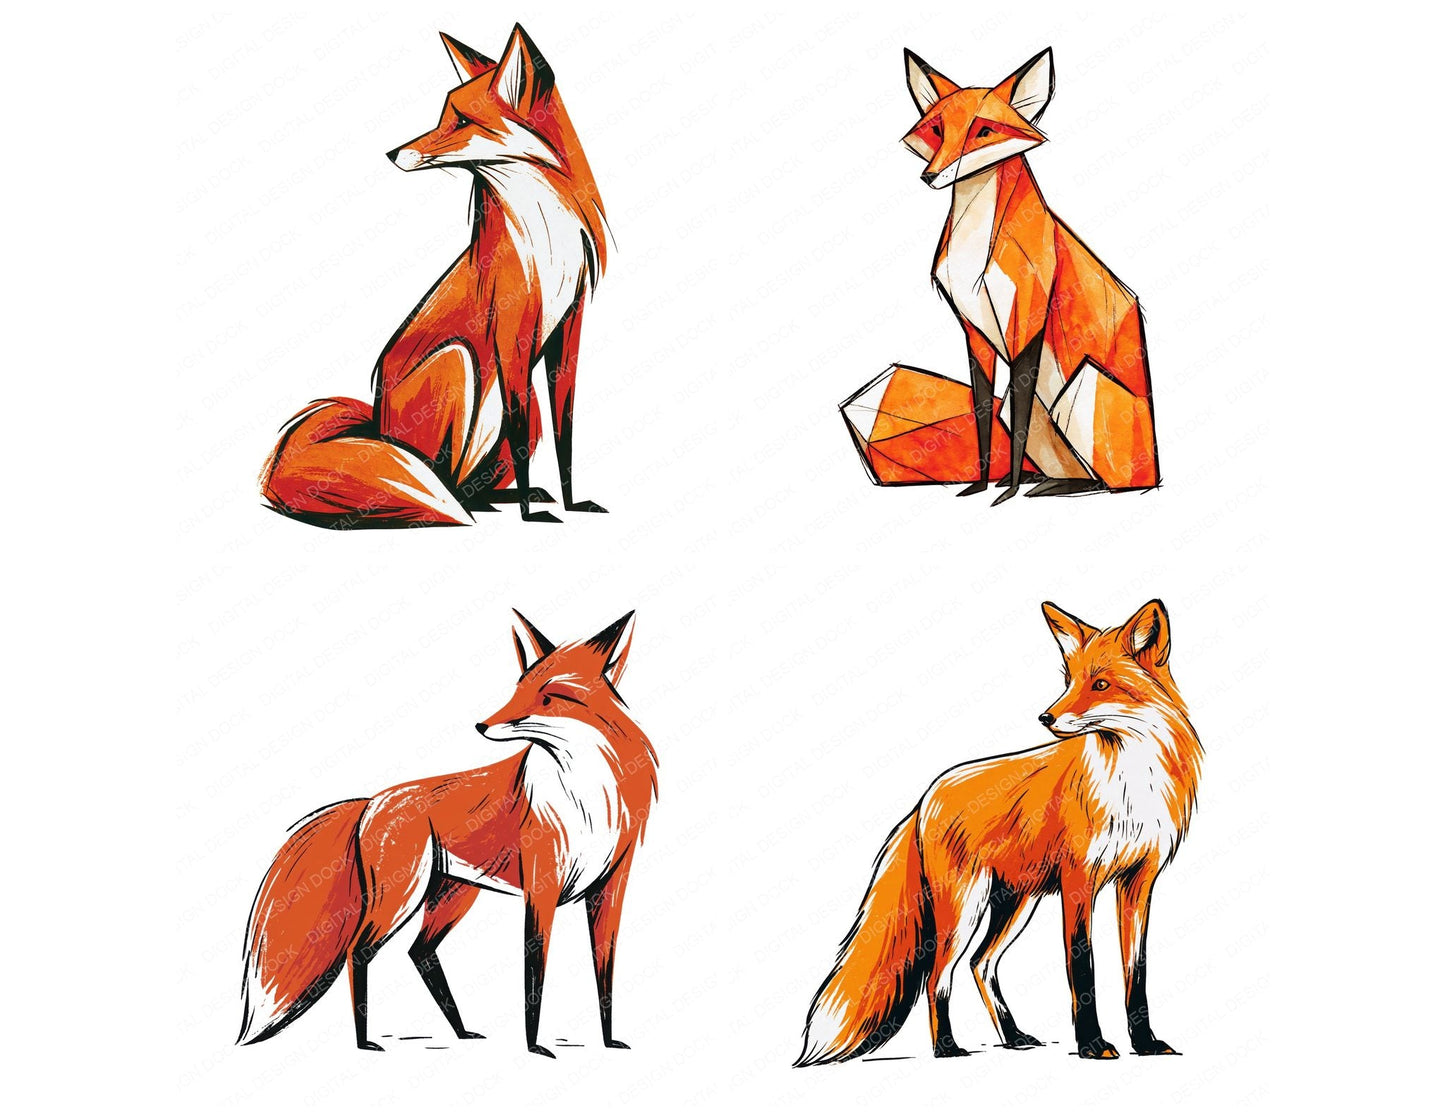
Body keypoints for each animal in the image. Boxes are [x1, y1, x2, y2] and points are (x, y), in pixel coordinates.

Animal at [238, 611, 657, 1054]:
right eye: (517, 690)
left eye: (547, 698)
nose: (482, 724)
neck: (589, 801)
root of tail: (371, 802)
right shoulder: (541, 889)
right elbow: (535, 976)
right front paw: (534, 1047)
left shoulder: (610, 888)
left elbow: (604, 973)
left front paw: (609, 1041)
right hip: (401, 897)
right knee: (359, 951)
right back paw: (365, 1041)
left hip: (452, 895)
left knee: (419, 952)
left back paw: (460, 1031)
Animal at [259, 25, 611, 527]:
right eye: (443, 115)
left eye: (461, 121)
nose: (392, 153)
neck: (545, 235)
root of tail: (375, 424)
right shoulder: (511, 334)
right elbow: (525, 434)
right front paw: (532, 516)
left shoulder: (569, 326)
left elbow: (566, 434)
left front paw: (571, 502)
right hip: (457, 361)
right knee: (443, 480)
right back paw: (466, 503)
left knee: (472, 483)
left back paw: (506, 496)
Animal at [796, 600, 1201, 1065]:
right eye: (1068, 681)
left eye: (1100, 684)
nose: (1046, 716)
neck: (1131, 784)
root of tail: (926, 796)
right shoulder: (1078, 881)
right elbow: (1083, 971)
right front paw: (1092, 1045)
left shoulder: (1138, 882)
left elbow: (1136, 973)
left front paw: (1146, 1043)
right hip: (964, 907)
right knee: (939, 974)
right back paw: (947, 1047)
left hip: (1015, 903)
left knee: (980, 964)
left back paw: (1013, 1036)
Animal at [901, 48, 1159, 504]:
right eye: (937, 130)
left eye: (984, 130)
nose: (929, 175)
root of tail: (1155, 472)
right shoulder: (974, 332)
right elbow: (983, 414)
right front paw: (981, 485)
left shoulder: (1028, 325)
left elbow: (1016, 425)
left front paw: (1004, 495)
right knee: (1070, 468)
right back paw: (1047, 482)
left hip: (1076, 389)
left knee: (1108, 483)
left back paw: (1059, 487)